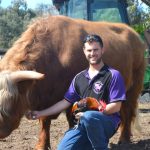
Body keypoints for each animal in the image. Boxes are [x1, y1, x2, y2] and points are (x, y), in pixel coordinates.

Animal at [0, 15, 146, 149]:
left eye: (10, 100)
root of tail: (132, 32)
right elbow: (44, 122)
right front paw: (42, 145)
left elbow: (72, 118)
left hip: (134, 87)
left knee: (128, 112)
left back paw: (124, 139)